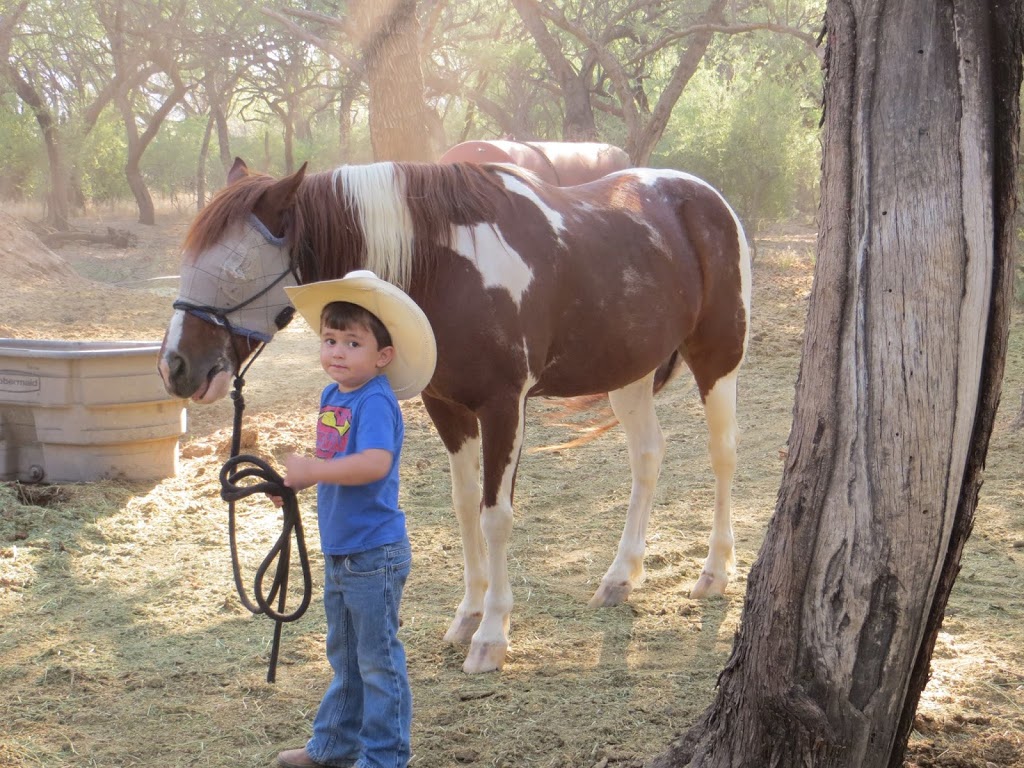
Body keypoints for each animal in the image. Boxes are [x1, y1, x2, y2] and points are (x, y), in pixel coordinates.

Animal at [159, 156, 753, 671]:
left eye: (237, 266)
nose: (176, 367)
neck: (446, 266)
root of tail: (708, 199)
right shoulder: (446, 406)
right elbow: (466, 508)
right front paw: (467, 617)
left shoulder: (503, 406)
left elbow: (496, 517)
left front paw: (492, 636)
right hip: (629, 374)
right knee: (647, 457)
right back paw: (620, 577)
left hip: (717, 358)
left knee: (723, 454)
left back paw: (714, 573)